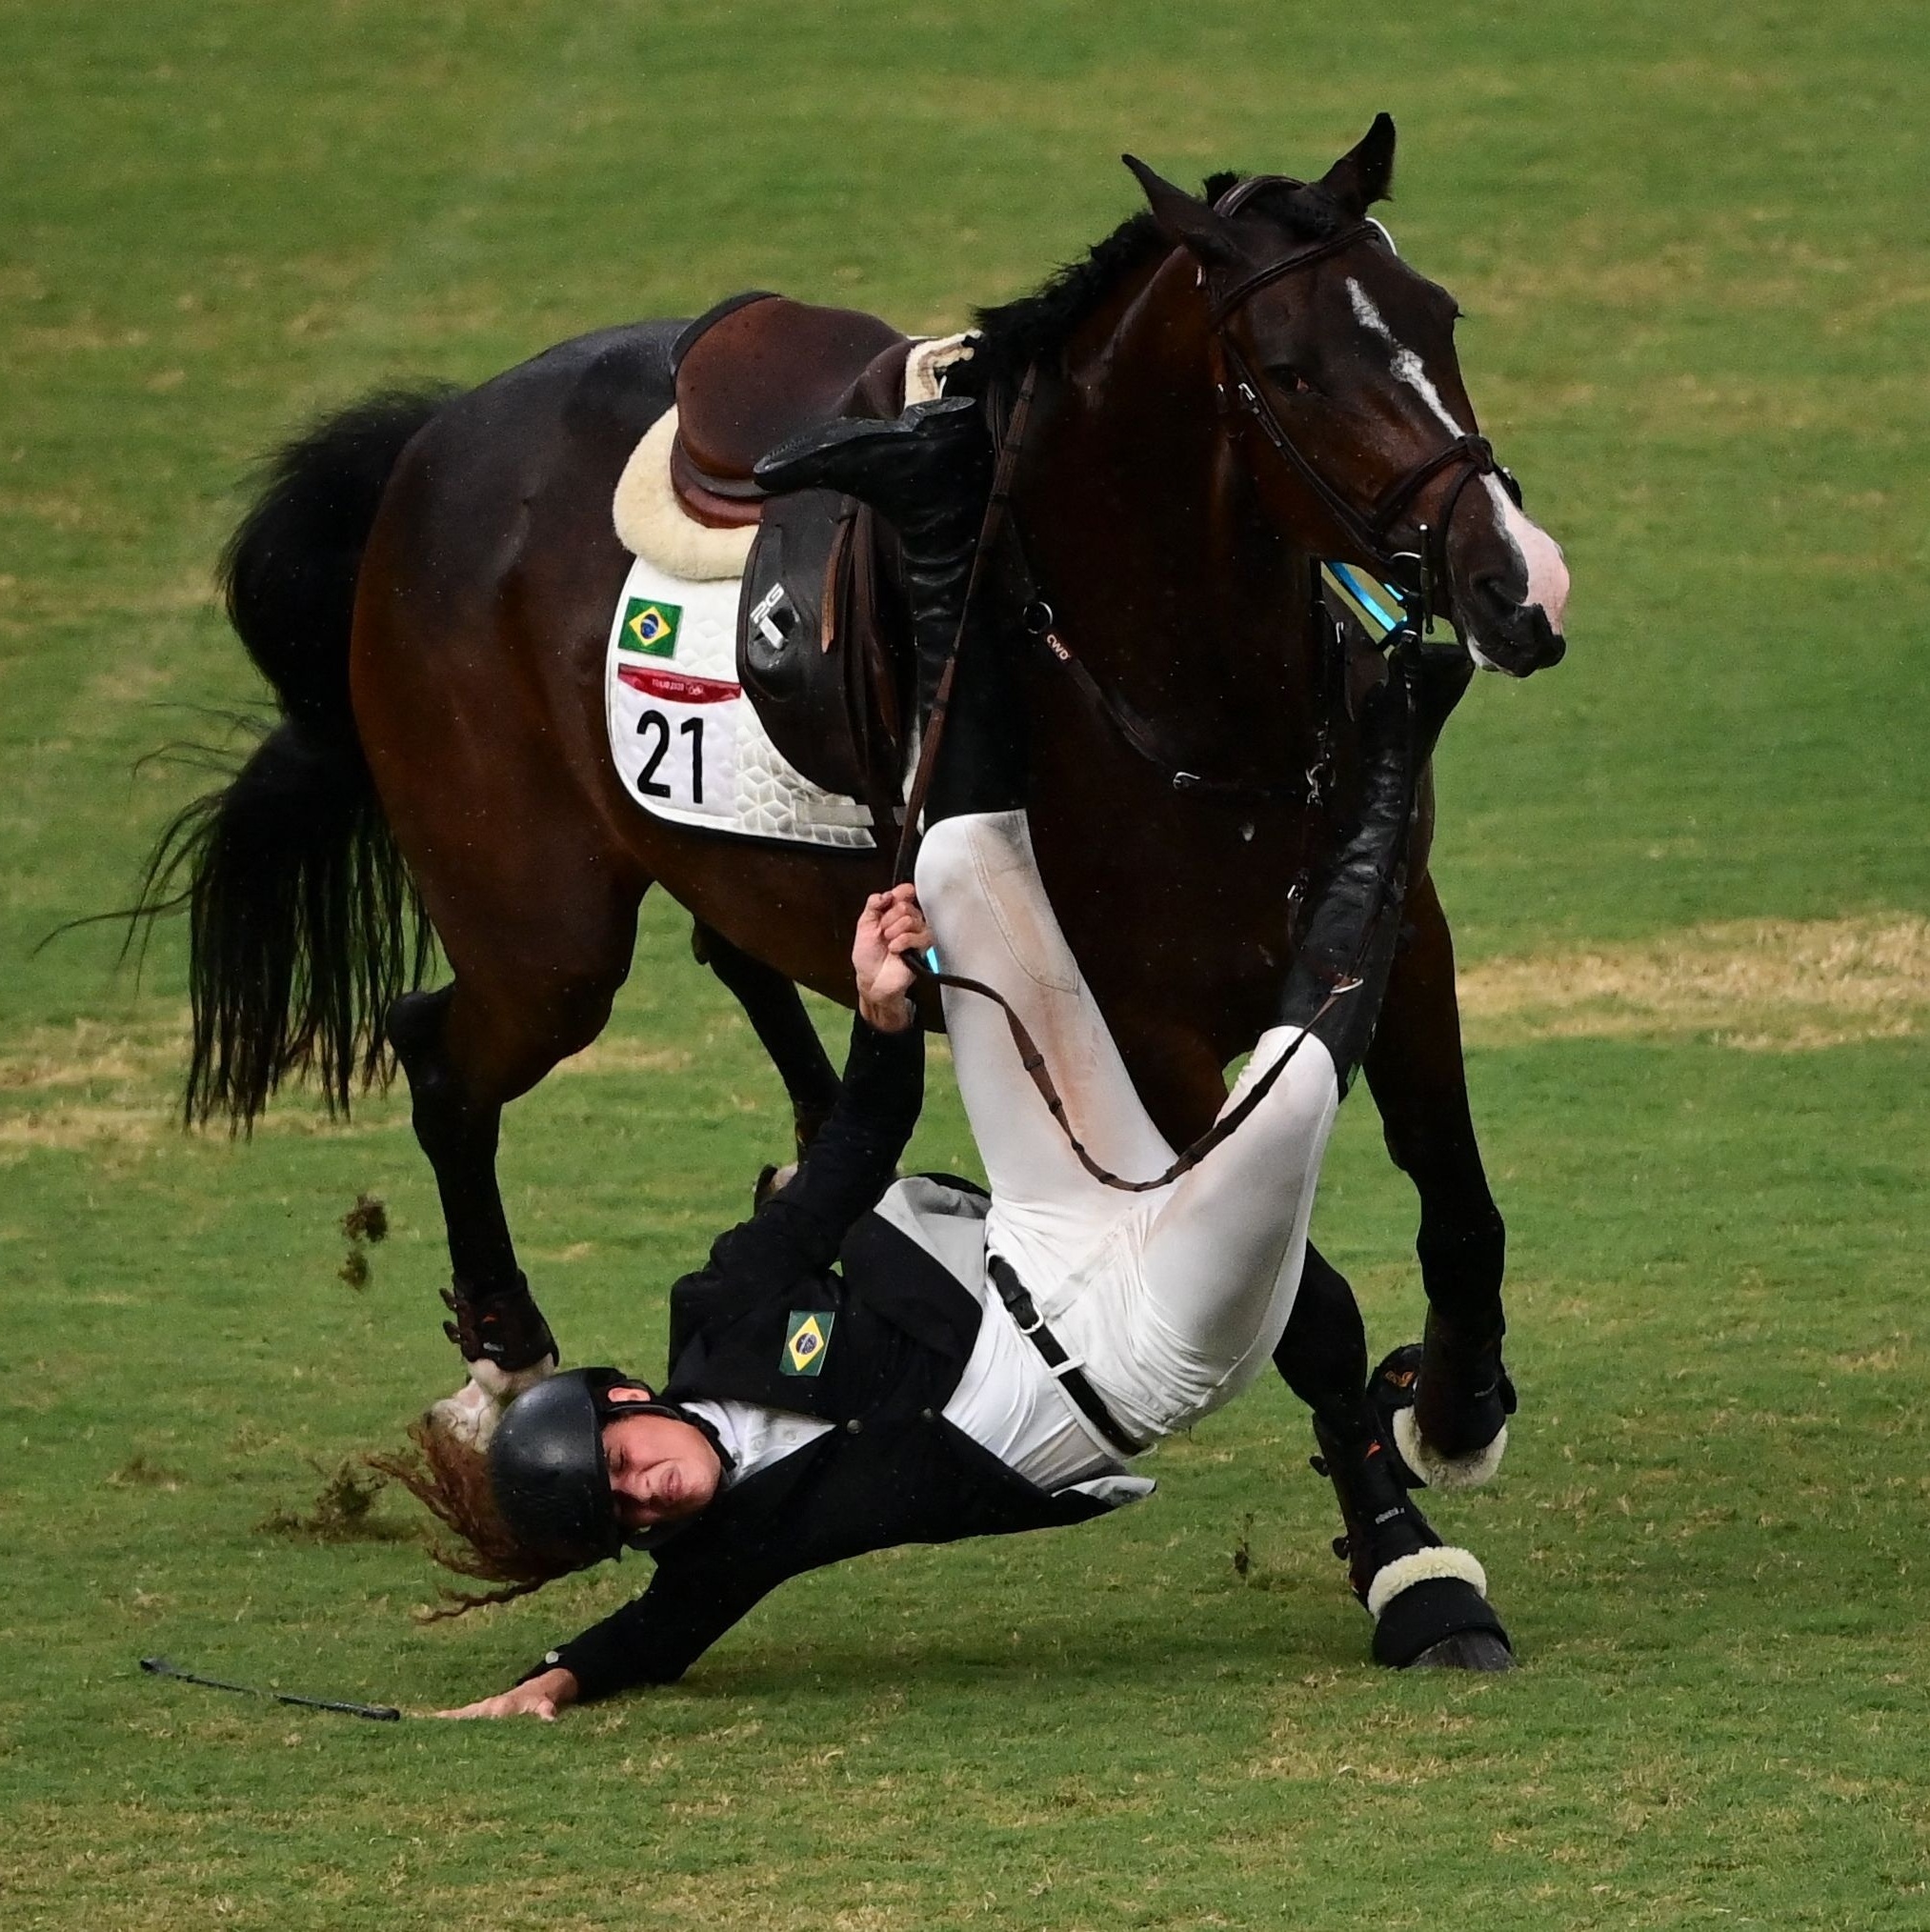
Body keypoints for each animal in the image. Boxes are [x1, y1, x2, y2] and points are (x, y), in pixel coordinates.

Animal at [147, 112, 1568, 1638]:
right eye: (1293, 370)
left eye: (1439, 317)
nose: (1518, 586)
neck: (1180, 697)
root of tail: (432, 438)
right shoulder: (1150, 1028)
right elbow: (1306, 1304)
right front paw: (1405, 1558)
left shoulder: (1400, 936)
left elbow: (1456, 1202)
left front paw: (1456, 1409)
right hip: (547, 948)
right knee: (437, 1049)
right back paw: (508, 1359)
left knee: (734, 971)